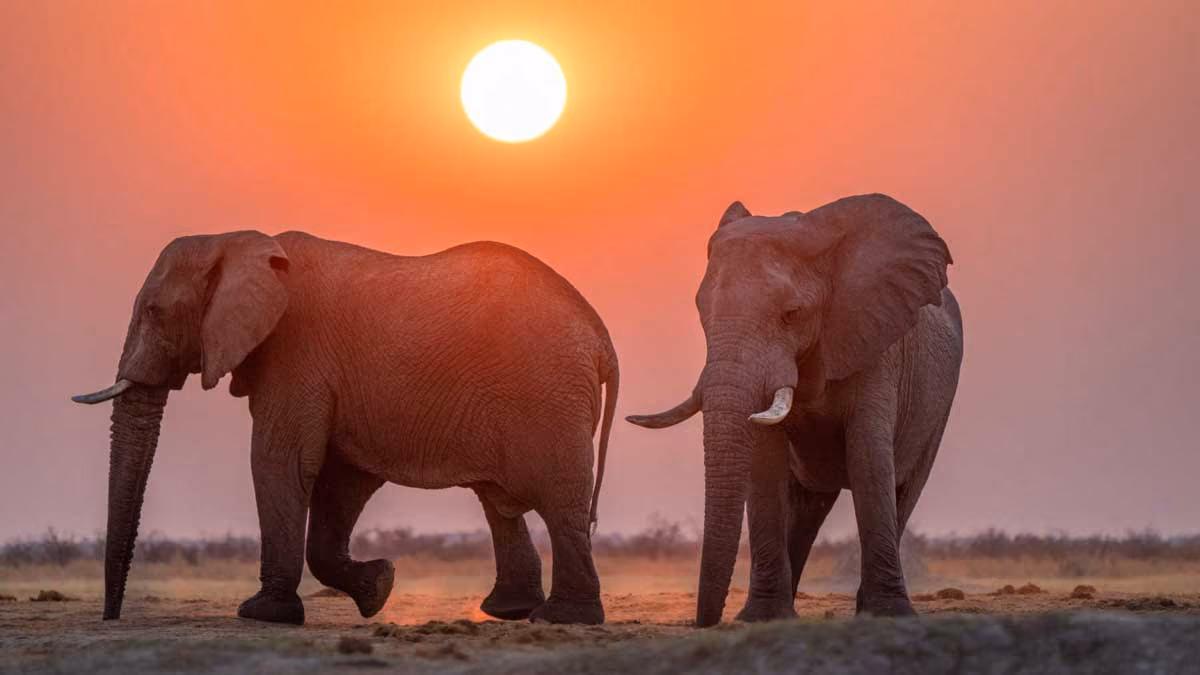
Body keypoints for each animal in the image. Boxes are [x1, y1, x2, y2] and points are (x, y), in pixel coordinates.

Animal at [73, 231, 619, 626]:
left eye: (153, 311)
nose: (111, 618)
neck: (233, 241)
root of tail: (601, 337)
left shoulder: (295, 354)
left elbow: (281, 461)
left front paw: (263, 615)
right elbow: (342, 481)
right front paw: (379, 586)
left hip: (548, 397)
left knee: (559, 502)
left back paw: (563, 619)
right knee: (498, 501)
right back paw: (510, 611)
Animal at [627, 194, 962, 626]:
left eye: (792, 315)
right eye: (702, 312)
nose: (704, 622)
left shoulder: (876, 345)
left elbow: (870, 459)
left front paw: (889, 614)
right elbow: (765, 464)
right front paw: (761, 618)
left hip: (939, 407)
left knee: (904, 490)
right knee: (807, 510)